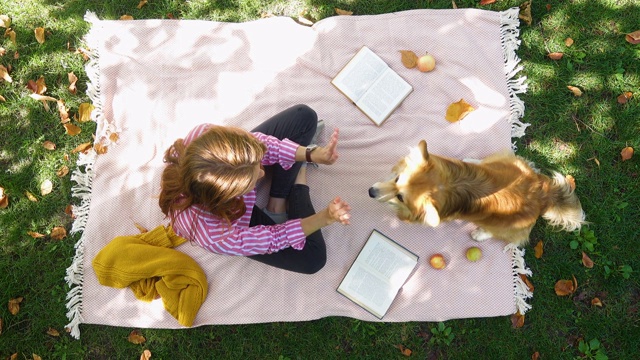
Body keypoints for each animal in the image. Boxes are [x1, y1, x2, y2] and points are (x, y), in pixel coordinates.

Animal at [370, 139, 584, 246]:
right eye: (397, 179)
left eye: (401, 197)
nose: (371, 192)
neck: (450, 185)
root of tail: (543, 196)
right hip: (511, 162)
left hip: (503, 225)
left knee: (505, 236)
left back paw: (480, 234)